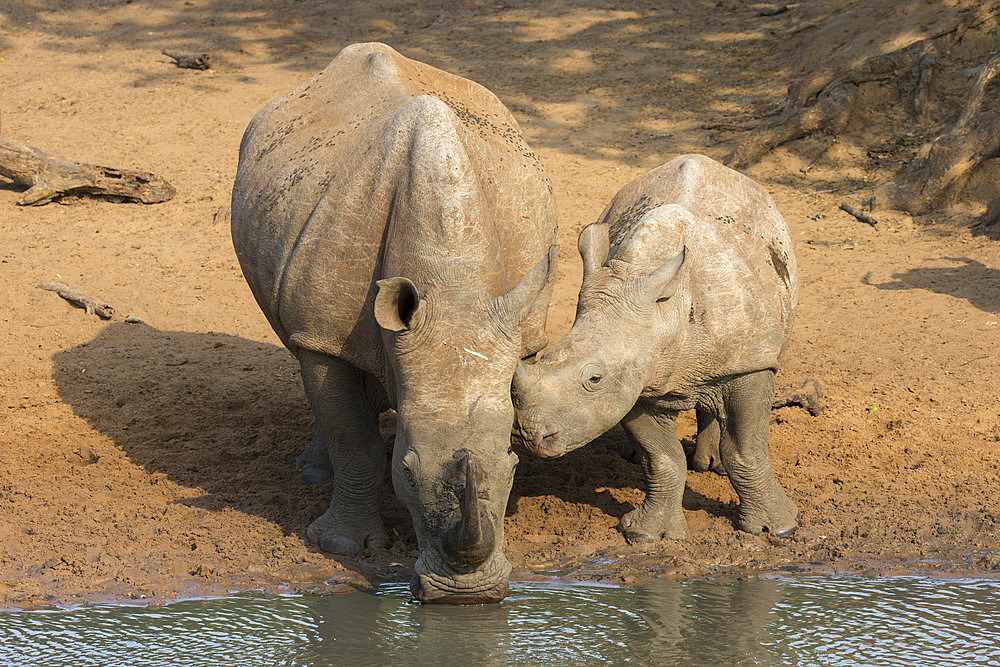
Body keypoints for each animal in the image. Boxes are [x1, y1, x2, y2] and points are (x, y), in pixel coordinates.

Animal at [229, 43, 556, 604]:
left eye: (513, 465)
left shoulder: (516, 328)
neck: (452, 286)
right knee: (310, 362)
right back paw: (314, 475)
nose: (466, 598)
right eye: (407, 469)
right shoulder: (325, 333)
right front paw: (342, 545)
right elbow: (352, 433)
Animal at [512, 155, 800, 544]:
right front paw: (648, 535)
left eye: (594, 379)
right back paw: (640, 456)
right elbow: (663, 458)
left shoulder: (750, 361)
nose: (530, 437)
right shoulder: (637, 377)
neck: (663, 314)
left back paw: (712, 465)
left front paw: (779, 527)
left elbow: (746, 449)